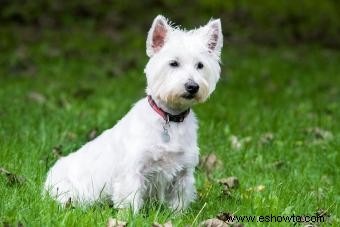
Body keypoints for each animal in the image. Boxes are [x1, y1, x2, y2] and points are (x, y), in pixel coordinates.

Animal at [43, 14, 223, 213]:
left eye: (200, 65)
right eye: (173, 63)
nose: (192, 86)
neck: (170, 117)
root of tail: (47, 179)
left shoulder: (184, 172)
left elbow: (179, 200)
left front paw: (178, 215)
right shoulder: (133, 170)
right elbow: (131, 198)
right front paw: (130, 216)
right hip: (68, 190)